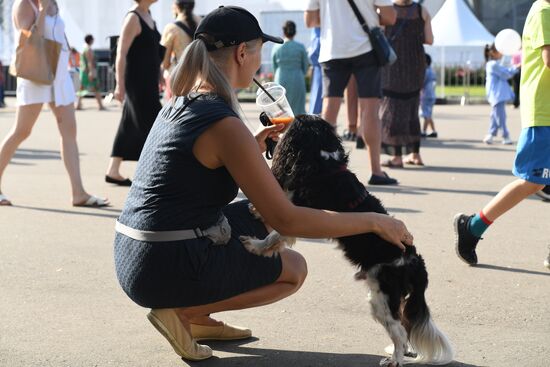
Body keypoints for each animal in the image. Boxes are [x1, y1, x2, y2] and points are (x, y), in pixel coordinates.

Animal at [244, 115, 454, 367]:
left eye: (295, 122)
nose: (269, 121)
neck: (322, 158)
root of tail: (416, 263)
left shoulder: (297, 214)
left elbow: (273, 235)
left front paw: (254, 246)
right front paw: (256, 211)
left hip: (382, 300)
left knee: (400, 333)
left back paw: (394, 360)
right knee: (403, 328)